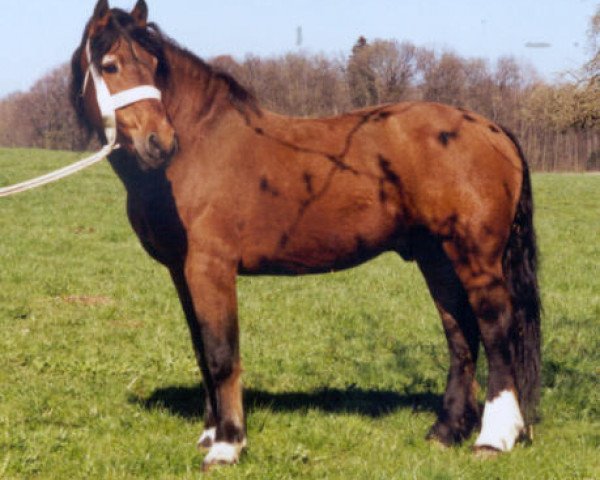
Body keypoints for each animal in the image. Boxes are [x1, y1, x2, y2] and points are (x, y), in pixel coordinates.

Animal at [71, 0, 544, 468]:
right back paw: (446, 432)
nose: (160, 142)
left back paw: (494, 437)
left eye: (154, 65)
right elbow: (202, 350)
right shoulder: (181, 272)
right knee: (460, 333)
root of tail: (492, 130)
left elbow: (223, 354)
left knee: (496, 329)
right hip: (438, 258)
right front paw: (209, 434)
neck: (198, 147)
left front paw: (228, 444)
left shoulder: (211, 267)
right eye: (111, 66)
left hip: (475, 258)